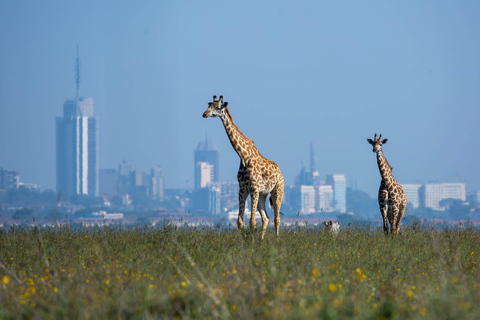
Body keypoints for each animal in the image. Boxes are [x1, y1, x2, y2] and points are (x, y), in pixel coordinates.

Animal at [202, 95, 284, 238]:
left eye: (217, 107)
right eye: (209, 105)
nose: (204, 114)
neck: (243, 156)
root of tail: (280, 172)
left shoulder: (254, 188)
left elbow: (252, 222)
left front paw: (251, 242)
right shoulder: (243, 189)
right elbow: (240, 222)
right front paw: (246, 241)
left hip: (277, 190)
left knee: (277, 219)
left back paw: (277, 240)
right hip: (263, 194)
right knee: (266, 218)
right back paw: (261, 240)